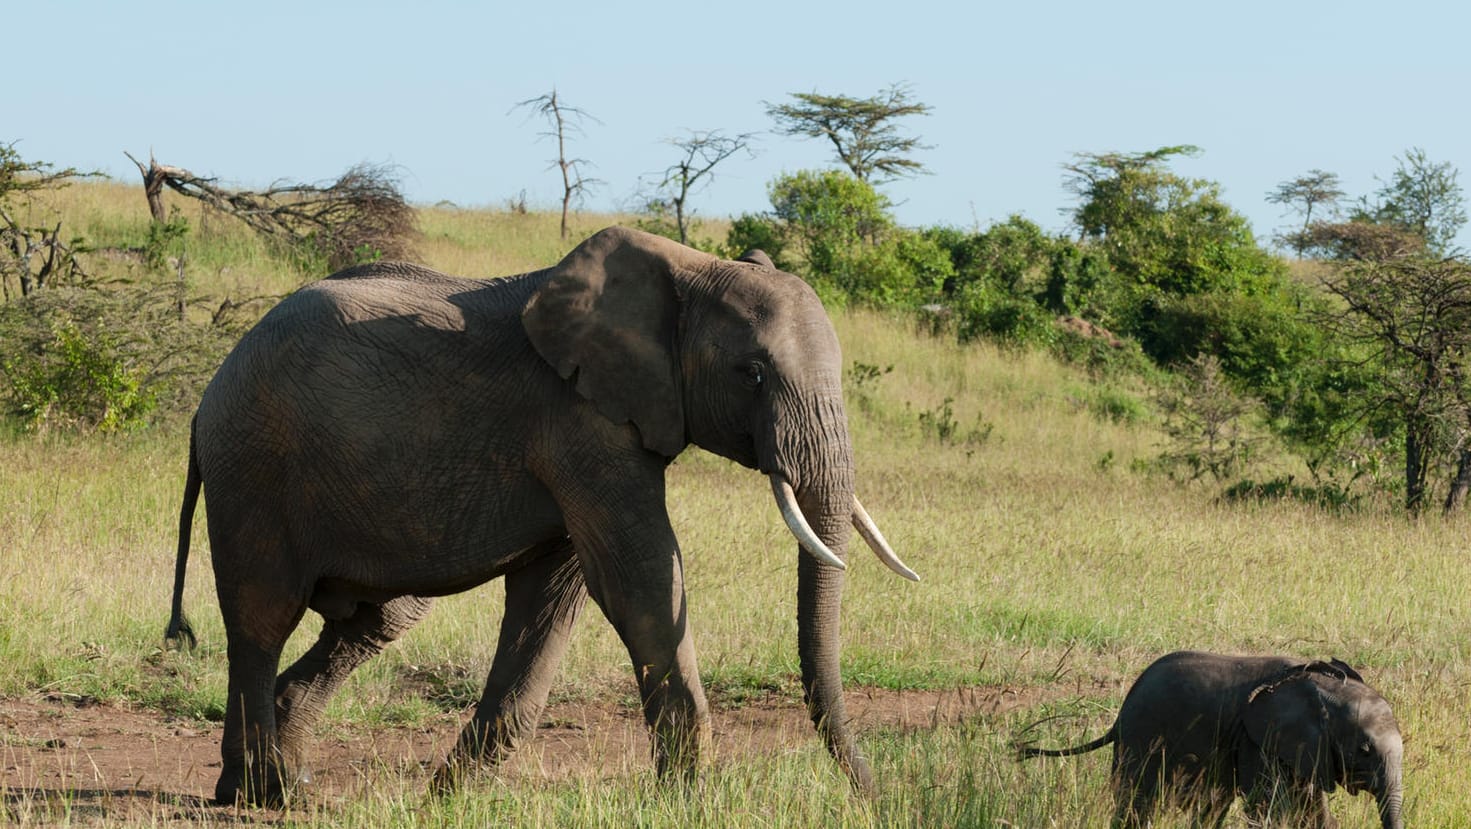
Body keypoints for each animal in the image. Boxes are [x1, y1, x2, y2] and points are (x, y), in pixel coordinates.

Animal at [164, 224, 917, 805]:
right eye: (752, 374)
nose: (876, 797)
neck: (689, 268)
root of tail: (207, 396)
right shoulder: (581, 423)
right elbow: (640, 580)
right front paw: (687, 802)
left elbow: (554, 597)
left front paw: (449, 801)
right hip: (254, 470)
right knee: (261, 619)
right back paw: (265, 793)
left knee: (378, 618)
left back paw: (266, 783)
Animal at [1017, 649, 1406, 829]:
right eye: (1364, 750)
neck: (1325, 687)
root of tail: (1120, 713)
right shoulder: (1256, 741)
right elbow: (1266, 806)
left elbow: (1311, 807)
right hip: (1141, 739)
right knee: (1136, 802)